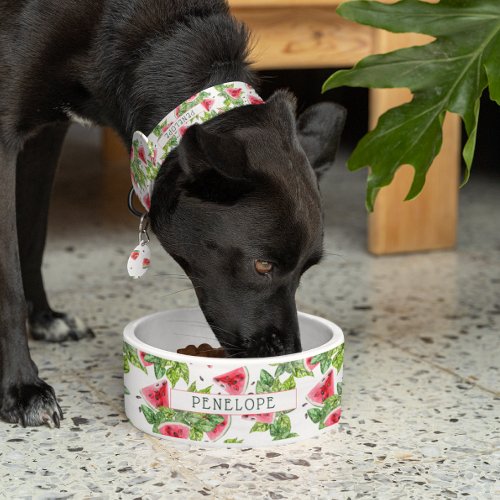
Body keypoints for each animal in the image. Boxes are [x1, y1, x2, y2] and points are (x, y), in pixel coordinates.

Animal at [0, 0, 346, 428]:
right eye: (261, 266)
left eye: (306, 270)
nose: (285, 355)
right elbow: (9, 283)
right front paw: (22, 388)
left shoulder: (47, 135)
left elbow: (33, 237)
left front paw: (45, 318)